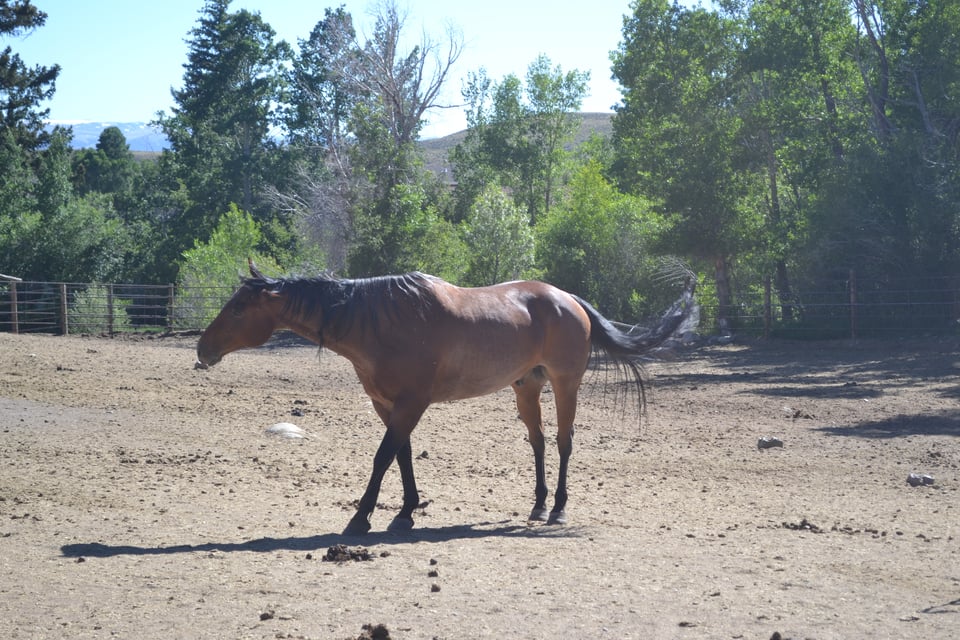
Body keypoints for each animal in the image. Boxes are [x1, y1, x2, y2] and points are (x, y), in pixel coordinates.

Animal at [196, 262, 695, 536]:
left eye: (239, 307)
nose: (202, 349)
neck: (382, 323)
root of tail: (568, 298)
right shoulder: (387, 404)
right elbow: (401, 455)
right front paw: (405, 512)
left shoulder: (411, 403)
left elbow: (383, 457)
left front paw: (362, 518)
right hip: (527, 386)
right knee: (537, 442)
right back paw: (537, 504)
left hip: (564, 383)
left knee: (563, 442)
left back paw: (557, 508)